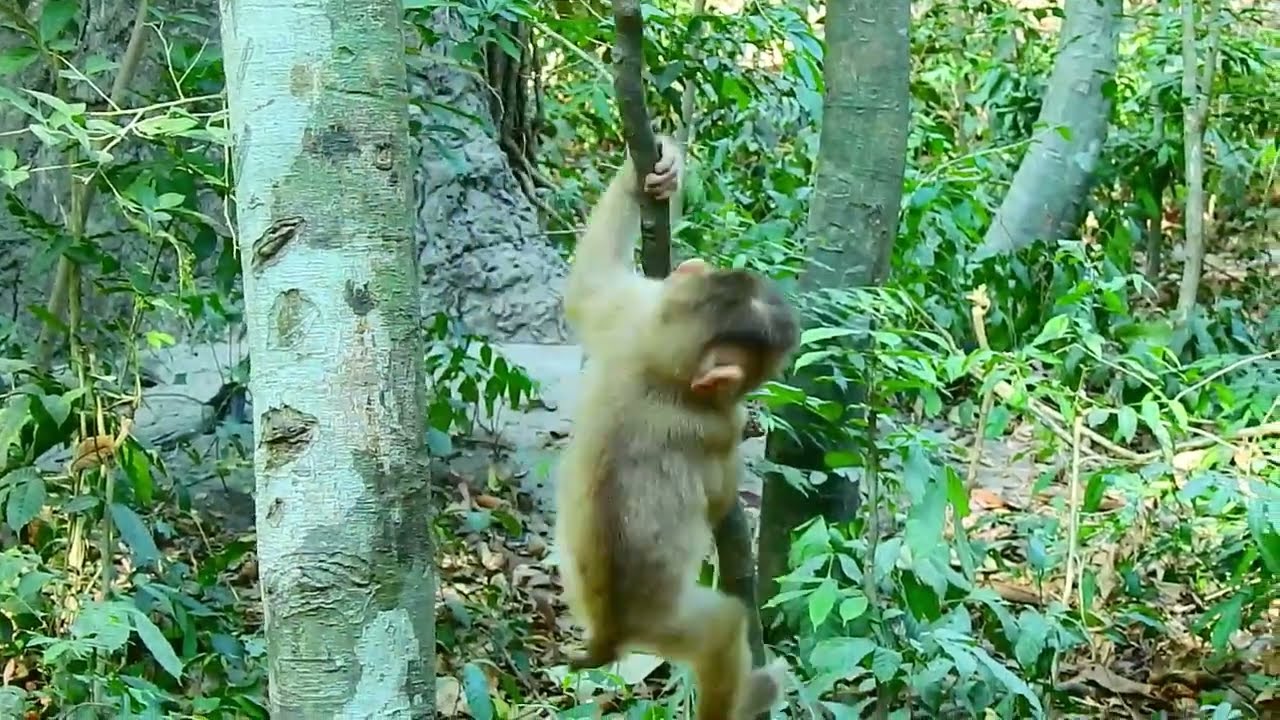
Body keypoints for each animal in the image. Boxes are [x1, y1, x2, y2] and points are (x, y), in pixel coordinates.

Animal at [554, 135, 800, 720]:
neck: (658, 359)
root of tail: (608, 636)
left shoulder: (632, 312)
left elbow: (588, 287)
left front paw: (660, 169)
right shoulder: (719, 424)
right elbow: (719, 494)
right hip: (667, 624)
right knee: (723, 627)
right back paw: (754, 693)